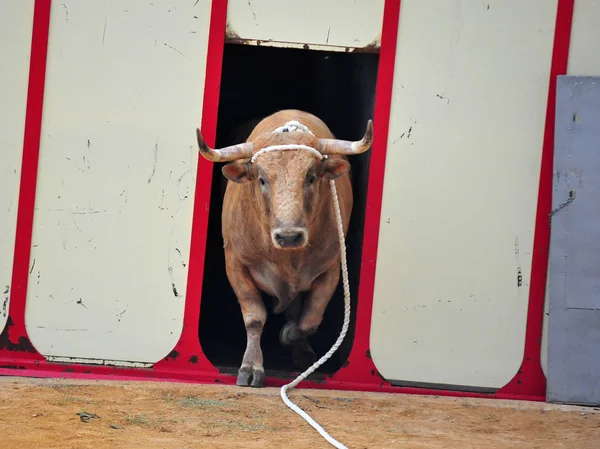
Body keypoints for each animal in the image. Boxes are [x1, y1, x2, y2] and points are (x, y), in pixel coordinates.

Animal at [197, 109, 372, 384]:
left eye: (311, 177)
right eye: (261, 179)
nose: (289, 236)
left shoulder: (331, 269)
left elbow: (309, 319)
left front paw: (290, 335)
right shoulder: (235, 264)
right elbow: (255, 317)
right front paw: (251, 366)